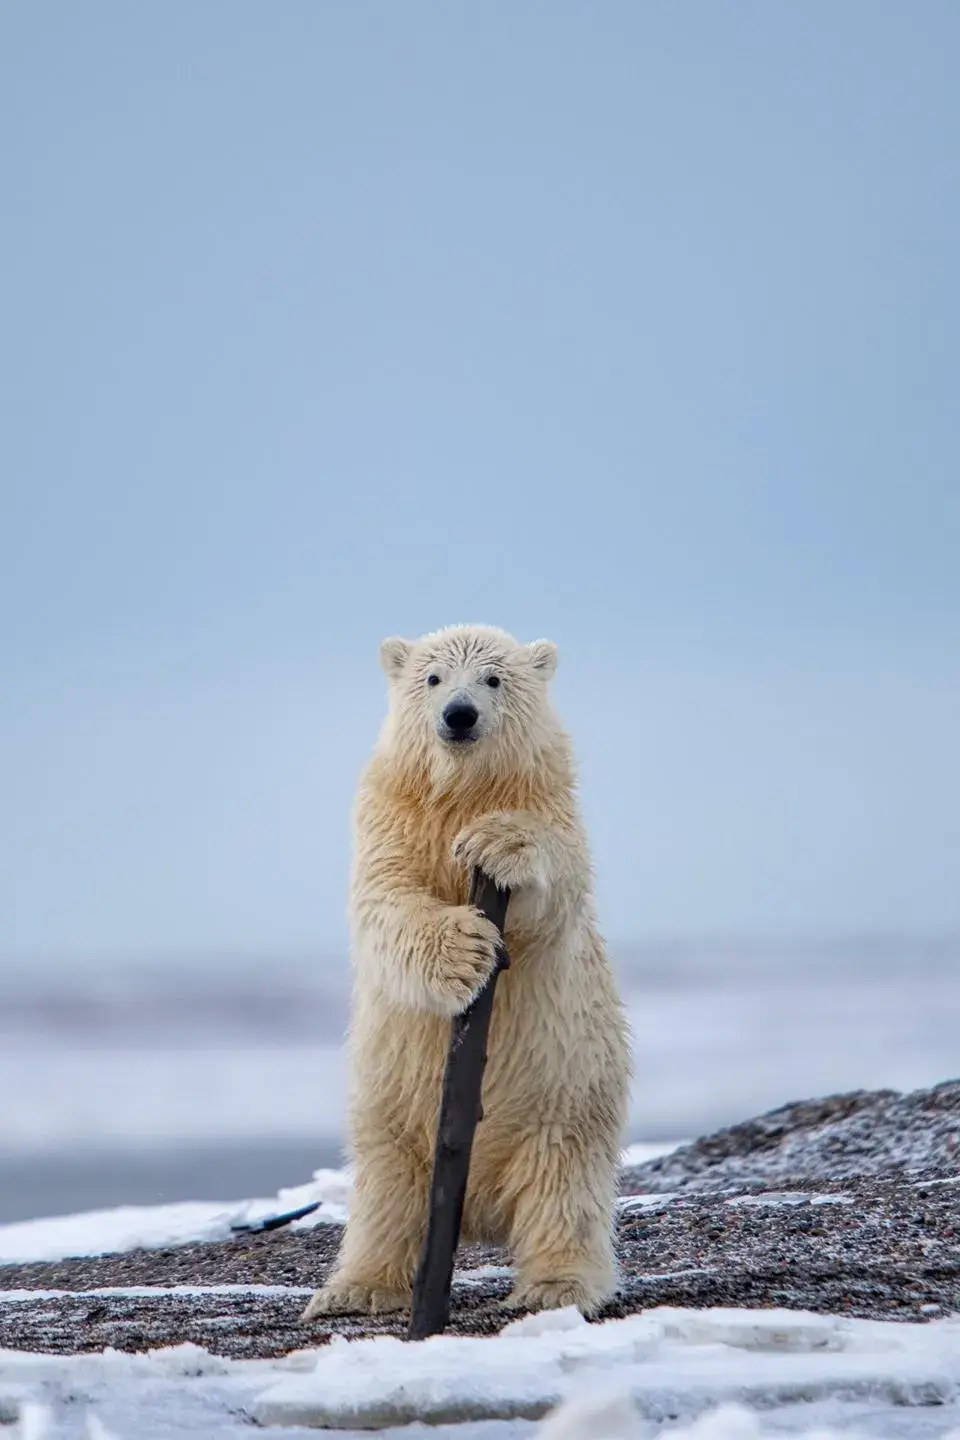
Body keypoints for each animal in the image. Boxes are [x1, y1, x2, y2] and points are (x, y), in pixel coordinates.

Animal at [302, 624, 631, 1321]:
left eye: (493, 678)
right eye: (432, 678)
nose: (459, 715)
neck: (461, 792)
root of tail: (479, 1212)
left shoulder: (551, 805)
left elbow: (551, 888)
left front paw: (494, 843)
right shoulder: (391, 817)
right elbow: (386, 900)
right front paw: (464, 952)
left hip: (568, 1093)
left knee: (563, 1190)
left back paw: (556, 1285)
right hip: (391, 1109)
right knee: (385, 1194)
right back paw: (355, 1288)